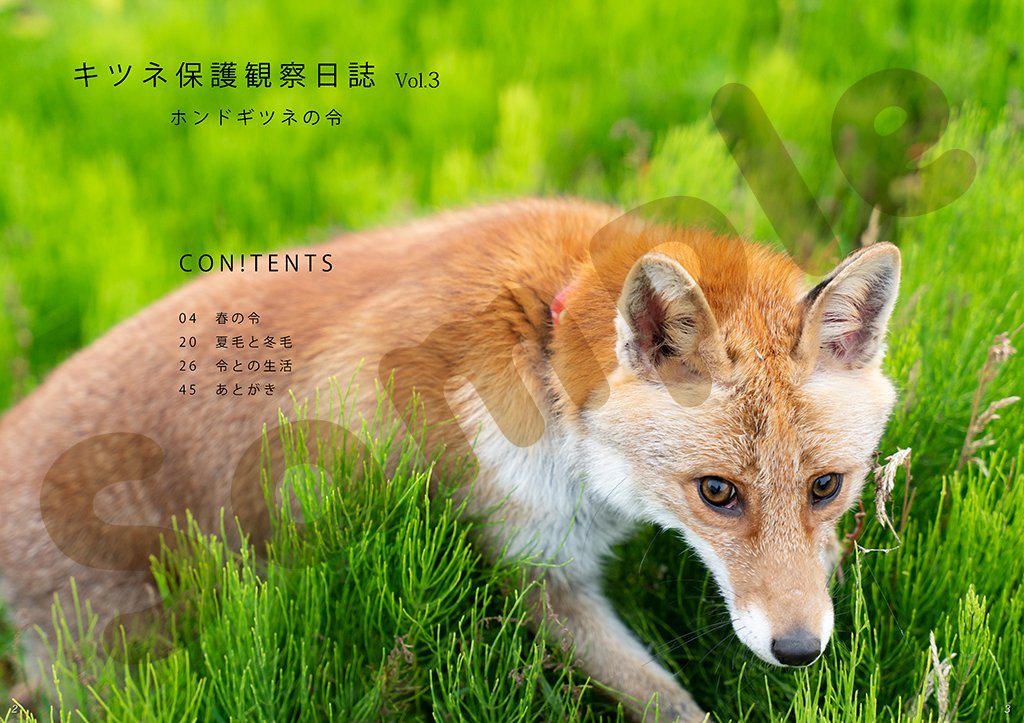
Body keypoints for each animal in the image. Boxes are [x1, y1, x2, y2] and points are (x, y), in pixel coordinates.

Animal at [0, 198, 900, 721]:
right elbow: (670, 705)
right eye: (717, 492)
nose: (800, 649)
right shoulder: (535, 572)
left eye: (827, 486)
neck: (546, 354)